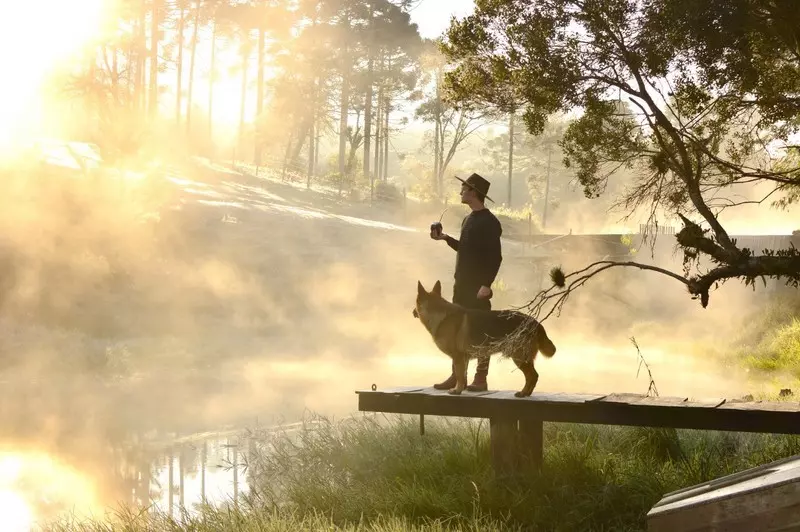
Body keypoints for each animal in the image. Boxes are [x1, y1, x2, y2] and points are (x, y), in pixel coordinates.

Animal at [412, 280, 556, 396]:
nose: (413, 312)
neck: (439, 313)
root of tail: (536, 323)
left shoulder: (458, 357)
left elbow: (459, 375)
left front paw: (457, 390)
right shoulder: (464, 358)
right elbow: (462, 376)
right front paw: (460, 389)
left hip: (519, 356)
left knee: (532, 376)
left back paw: (523, 393)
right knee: (533, 376)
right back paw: (527, 393)